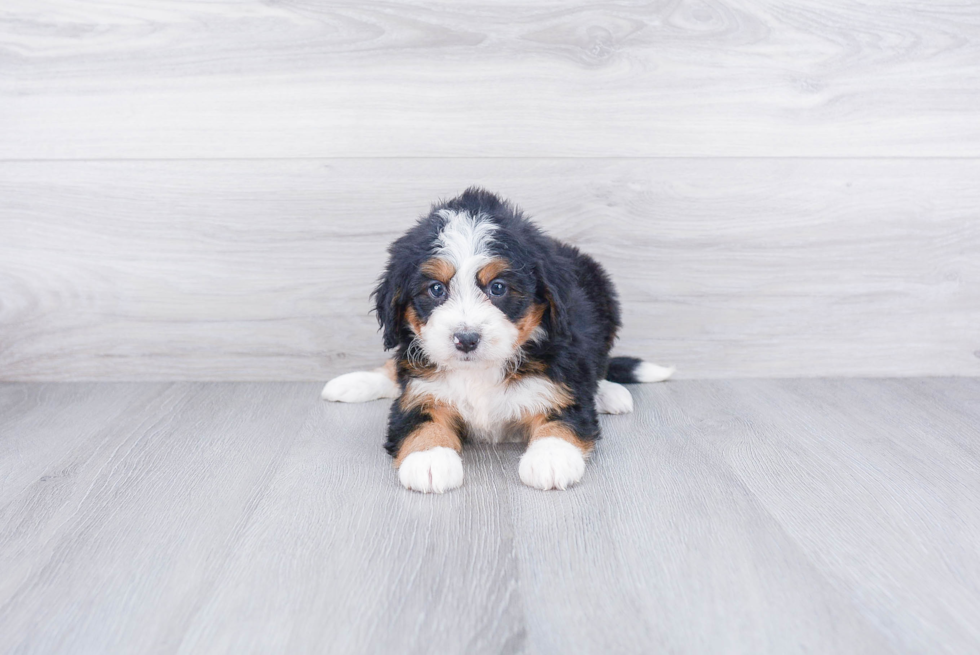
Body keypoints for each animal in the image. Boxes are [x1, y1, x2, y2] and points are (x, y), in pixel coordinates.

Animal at [322, 188, 672, 492]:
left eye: (498, 288)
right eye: (436, 289)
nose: (466, 339)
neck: (479, 370)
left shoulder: (563, 379)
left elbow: (563, 417)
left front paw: (551, 458)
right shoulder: (417, 392)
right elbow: (421, 421)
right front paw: (430, 459)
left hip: (604, 300)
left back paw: (609, 394)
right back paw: (351, 383)